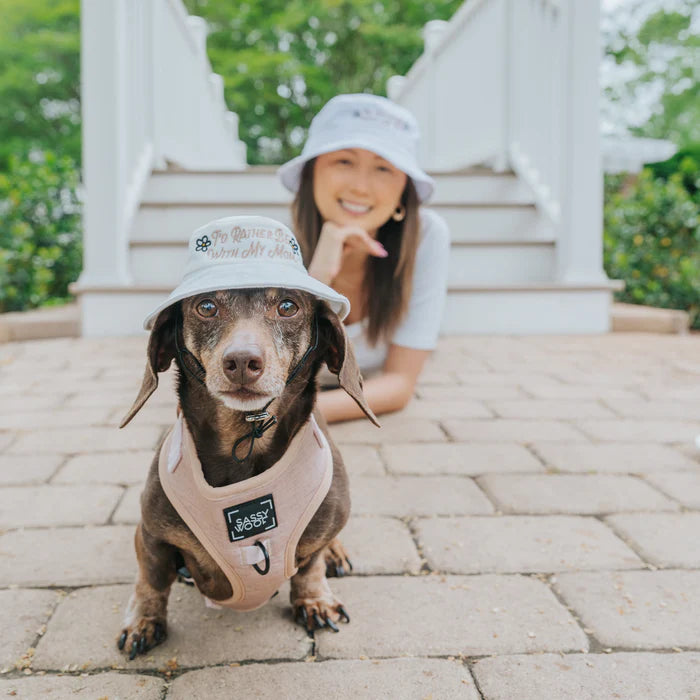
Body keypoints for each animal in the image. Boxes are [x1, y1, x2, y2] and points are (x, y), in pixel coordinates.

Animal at [117, 213, 378, 656]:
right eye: (206, 306)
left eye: (288, 306)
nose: (242, 361)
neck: (244, 440)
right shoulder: (150, 533)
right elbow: (151, 579)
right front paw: (143, 621)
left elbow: (310, 564)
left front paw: (314, 600)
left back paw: (336, 554)